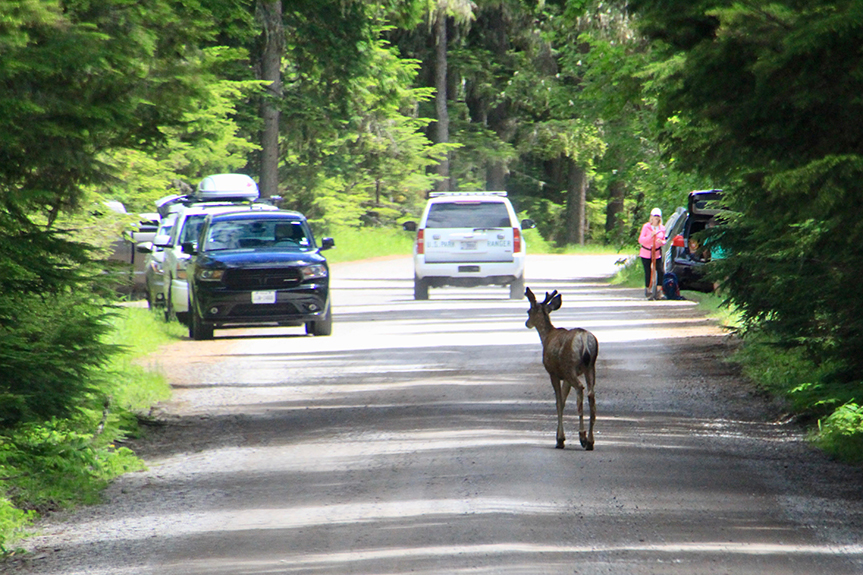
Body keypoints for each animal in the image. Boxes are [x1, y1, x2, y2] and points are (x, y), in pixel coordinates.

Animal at [528, 288, 600, 450]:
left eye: (528, 311)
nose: (527, 323)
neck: (546, 336)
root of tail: (584, 338)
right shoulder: (566, 377)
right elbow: (563, 401)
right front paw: (559, 436)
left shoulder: (553, 373)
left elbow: (559, 402)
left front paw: (560, 439)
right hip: (590, 367)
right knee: (591, 394)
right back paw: (591, 441)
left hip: (569, 366)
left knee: (580, 390)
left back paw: (582, 437)